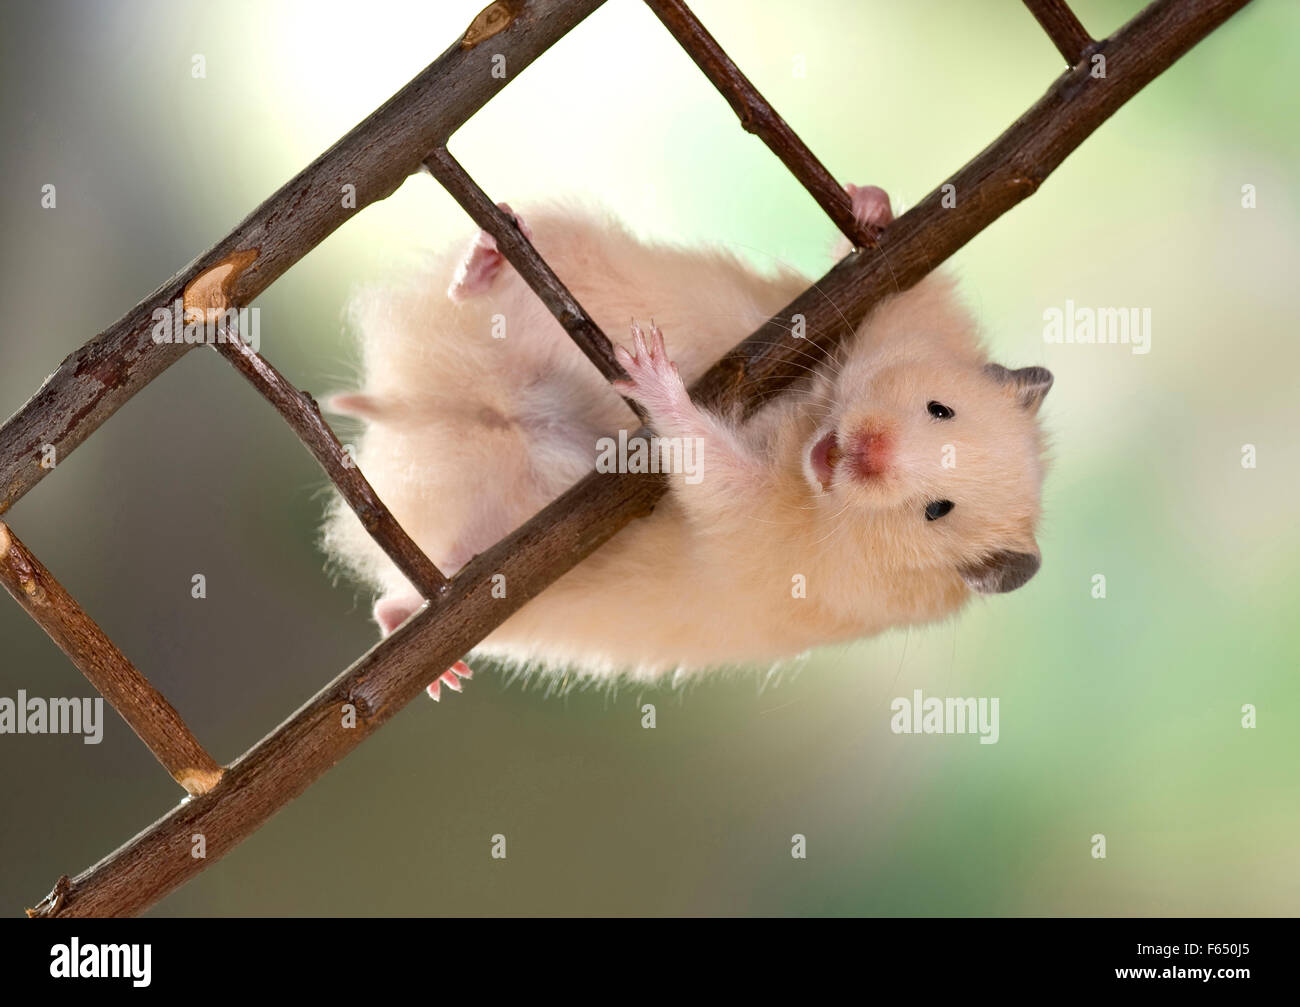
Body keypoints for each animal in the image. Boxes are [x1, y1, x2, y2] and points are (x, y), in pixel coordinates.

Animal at [319, 184, 1050, 691]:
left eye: (937, 510)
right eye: (939, 408)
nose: (865, 453)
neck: (804, 434)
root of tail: (432, 403)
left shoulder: (765, 532)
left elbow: (711, 462)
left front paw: (656, 378)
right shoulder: (901, 304)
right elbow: (871, 263)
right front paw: (871, 208)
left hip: (507, 596)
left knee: (419, 581)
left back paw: (433, 659)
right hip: (572, 267)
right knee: (502, 273)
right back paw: (492, 249)